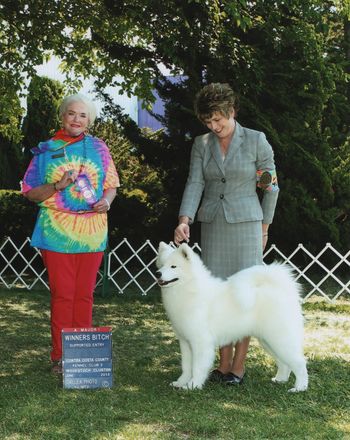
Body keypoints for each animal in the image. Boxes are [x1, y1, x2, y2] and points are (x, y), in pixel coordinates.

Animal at [154, 244, 308, 392]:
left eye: (173, 266)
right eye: (161, 265)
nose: (158, 273)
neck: (188, 289)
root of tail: (282, 290)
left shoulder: (200, 342)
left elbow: (197, 368)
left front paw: (193, 386)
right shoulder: (185, 342)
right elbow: (186, 366)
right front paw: (180, 383)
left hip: (279, 339)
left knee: (300, 363)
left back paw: (299, 388)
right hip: (268, 341)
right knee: (284, 363)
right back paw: (280, 380)